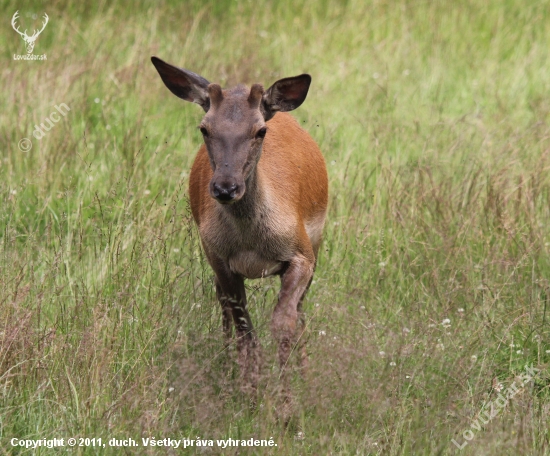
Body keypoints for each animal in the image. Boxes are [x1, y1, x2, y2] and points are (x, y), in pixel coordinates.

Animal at [152, 56, 328, 410]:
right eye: (204, 129)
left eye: (260, 130)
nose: (225, 187)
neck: (252, 243)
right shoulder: (220, 259)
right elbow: (245, 330)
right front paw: (249, 395)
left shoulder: (301, 253)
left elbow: (284, 323)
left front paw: (288, 405)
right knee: (223, 307)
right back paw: (226, 368)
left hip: (317, 244)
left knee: (300, 310)